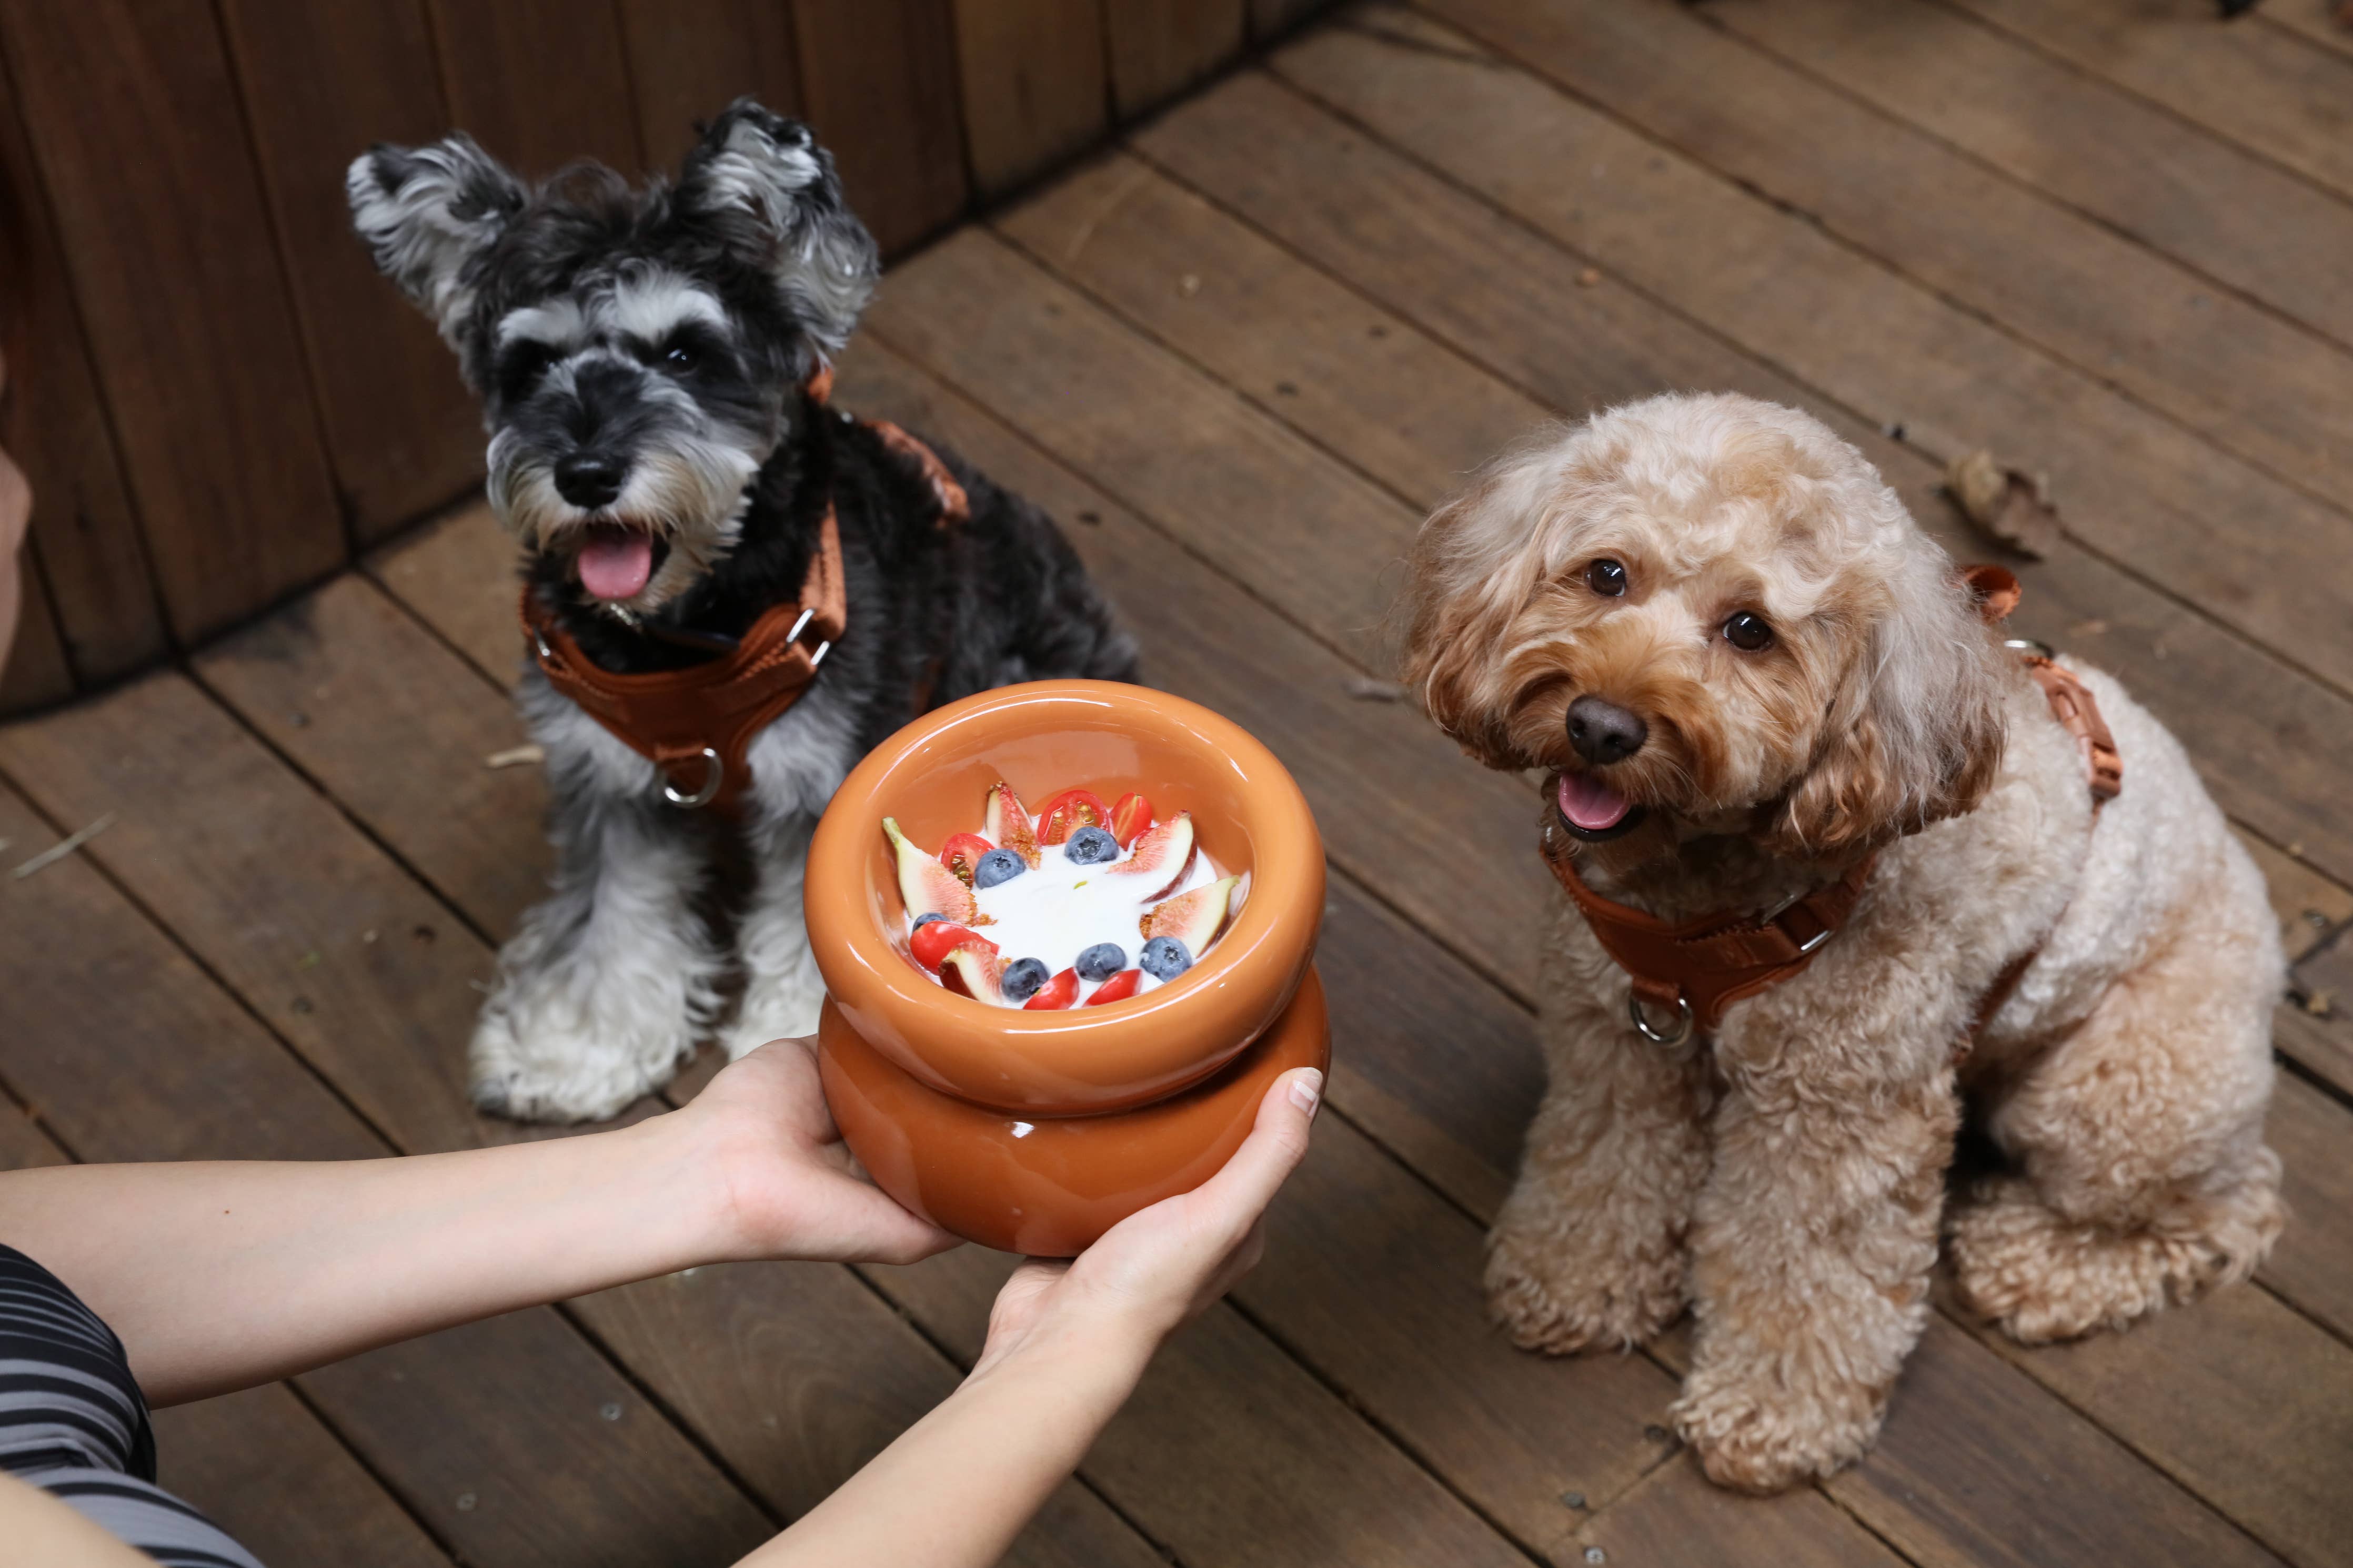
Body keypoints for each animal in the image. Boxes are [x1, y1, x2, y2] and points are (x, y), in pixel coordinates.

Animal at [1393, 392, 2277, 1495]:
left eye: (1750, 631)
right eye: (1605, 573)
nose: (1600, 726)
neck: (1708, 894)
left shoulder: (1838, 1110)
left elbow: (1805, 1267)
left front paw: (1773, 1416)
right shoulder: (1617, 1043)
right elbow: (1602, 1164)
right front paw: (1572, 1277)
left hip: (2119, 1091)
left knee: (2222, 1213)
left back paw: (2029, 1263)